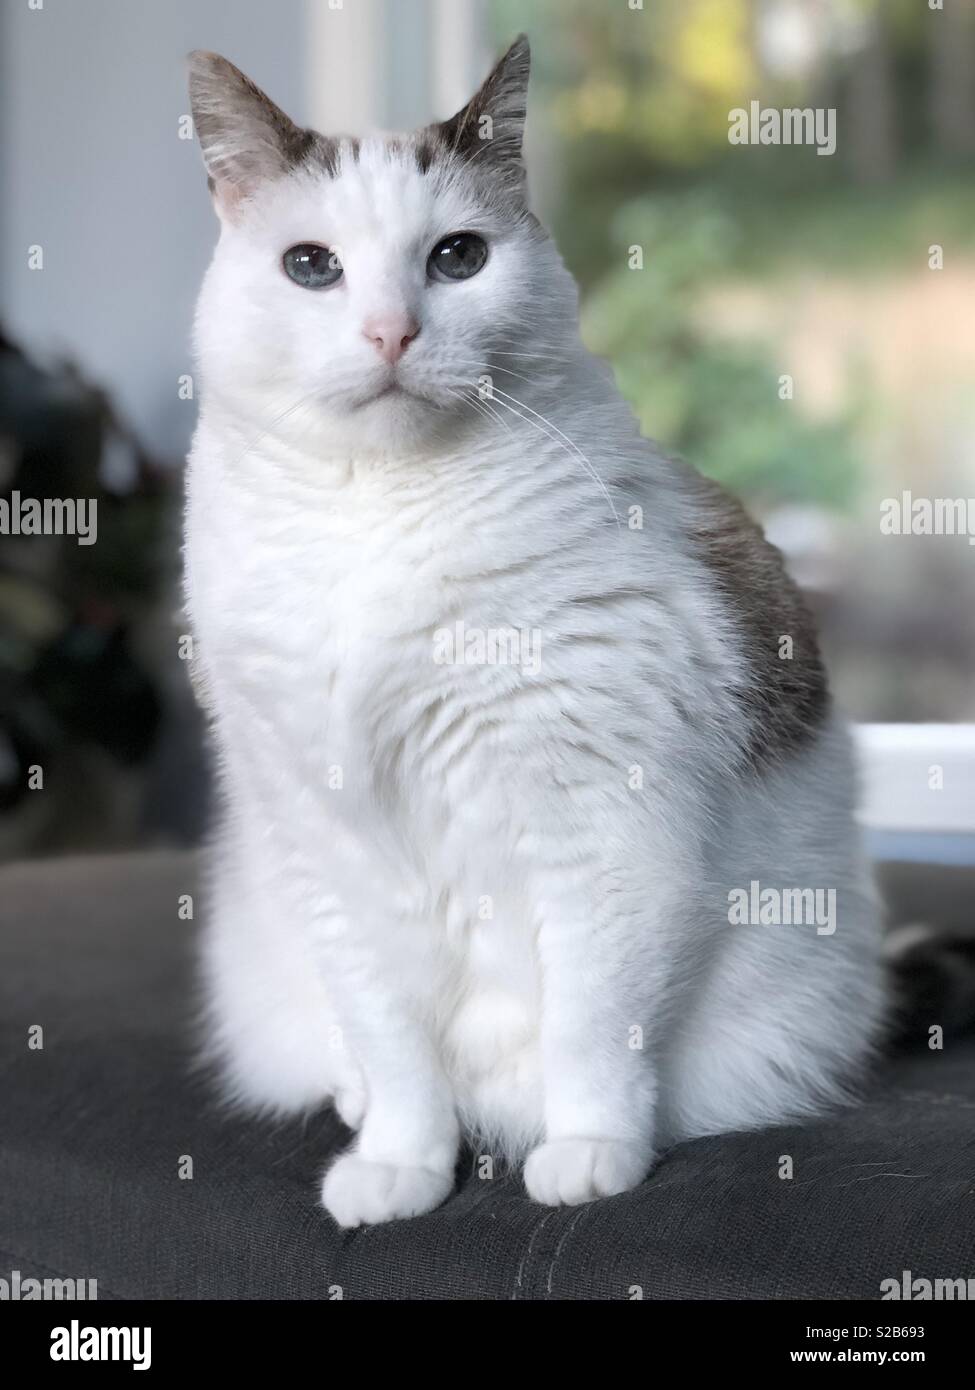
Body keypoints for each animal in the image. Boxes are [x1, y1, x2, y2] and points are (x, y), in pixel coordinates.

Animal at [182, 38, 884, 1228]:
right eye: (311, 267)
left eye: (458, 257)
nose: (391, 332)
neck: (376, 522)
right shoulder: (324, 847)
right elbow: (391, 1036)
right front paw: (404, 1166)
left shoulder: (604, 826)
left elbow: (591, 1026)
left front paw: (590, 1153)